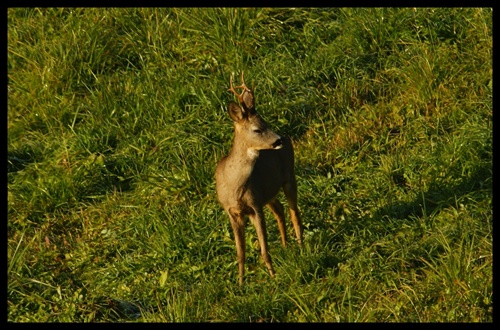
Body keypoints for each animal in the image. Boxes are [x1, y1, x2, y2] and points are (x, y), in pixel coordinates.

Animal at [214, 71, 302, 284]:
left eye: (266, 123)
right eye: (257, 129)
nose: (278, 140)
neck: (233, 185)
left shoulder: (255, 207)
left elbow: (264, 249)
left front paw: (273, 276)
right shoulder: (232, 212)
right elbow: (240, 253)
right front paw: (240, 283)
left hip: (289, 176)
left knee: (294, 212)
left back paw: (302, 246)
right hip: (268, 195)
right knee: (279, 210)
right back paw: (286, 246)